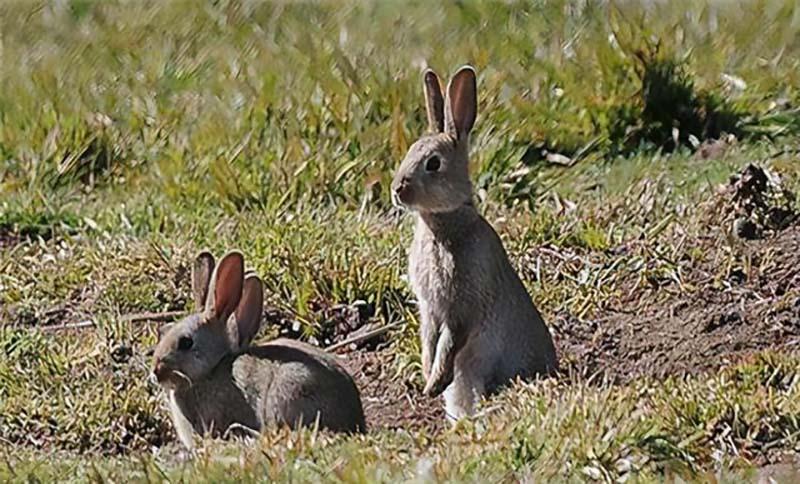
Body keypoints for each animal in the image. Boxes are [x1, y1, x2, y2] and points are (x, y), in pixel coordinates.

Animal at [392, 66, 556, 422]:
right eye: (409, 151)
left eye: (433, 163)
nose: (397, 189)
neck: (442, 224)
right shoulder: (430, 308)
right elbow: (429, 338)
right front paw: (427, 377)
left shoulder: (461, 306)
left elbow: (450, 341)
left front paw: (432, 384)